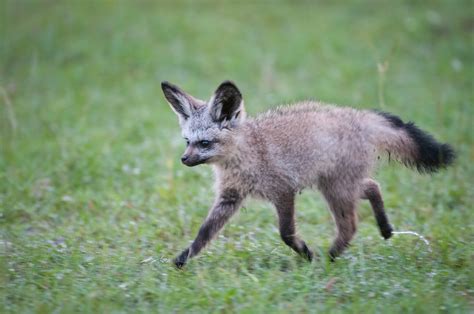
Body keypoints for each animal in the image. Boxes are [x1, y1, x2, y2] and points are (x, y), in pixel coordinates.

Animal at [160, 80, 456, 268]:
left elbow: (286, 233)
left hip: (336, 190)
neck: (247, 153)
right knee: (373, 185)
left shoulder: (283, 192)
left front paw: (306, 253)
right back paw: (385, 228)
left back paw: (330, 257)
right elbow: (203, 235)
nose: (184, 159)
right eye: (187, 141)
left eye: (204, 143)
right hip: (338, 185)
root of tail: (357, 117)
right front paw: (182, 259)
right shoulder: (230, 197)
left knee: (350, 225)